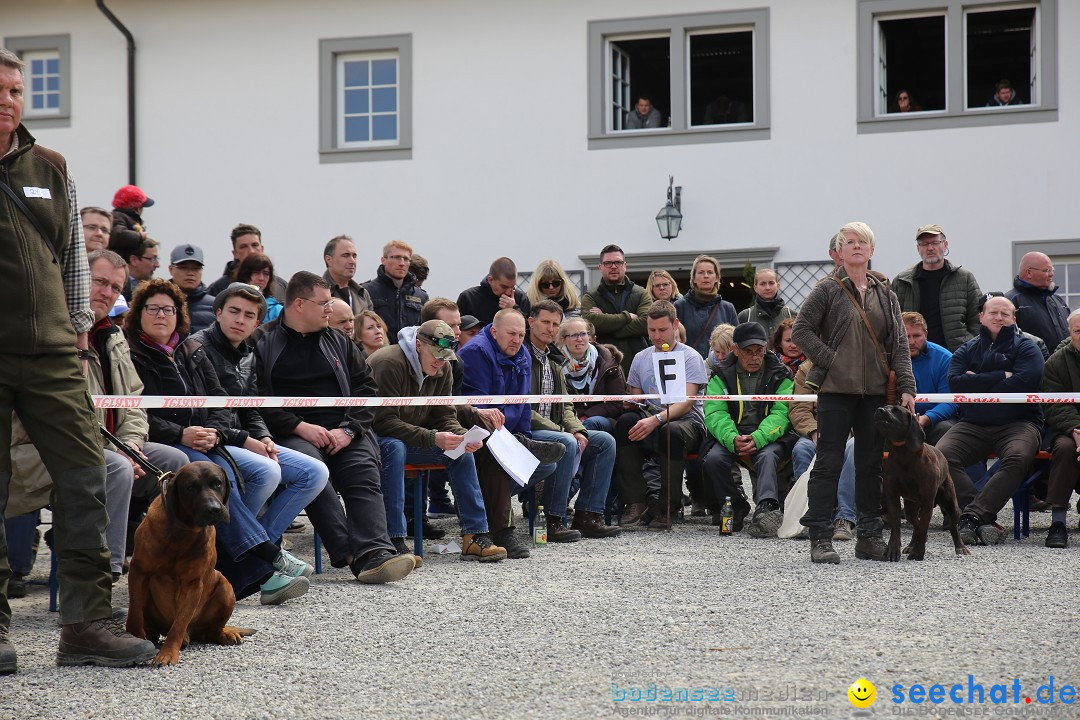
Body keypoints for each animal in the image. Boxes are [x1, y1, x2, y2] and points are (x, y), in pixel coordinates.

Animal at [125, 459, 253, 669]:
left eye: (217, 483)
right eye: (190, 487)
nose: (214, 509)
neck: (182, 532)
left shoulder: (192, 584)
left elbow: (179, 624)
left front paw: (167, 654)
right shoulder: (138, 572)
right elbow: (134, 613)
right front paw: (135, 639)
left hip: (225, 586)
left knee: (208, 630)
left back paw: (223, 634)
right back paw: (151, 635)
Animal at [876, 405, 972, 561]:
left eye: (896, 410)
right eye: (885, 407)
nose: (879, 410)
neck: (904, 455)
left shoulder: (927, 500)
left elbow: (923, 526)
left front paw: (918, 552)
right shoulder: (893, 498)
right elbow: (898, 528)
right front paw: (893, 549)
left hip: (951, 504)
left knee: (952, 526)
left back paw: (960, 546)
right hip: (910, 507)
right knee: (915, 522)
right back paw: (912, 544)